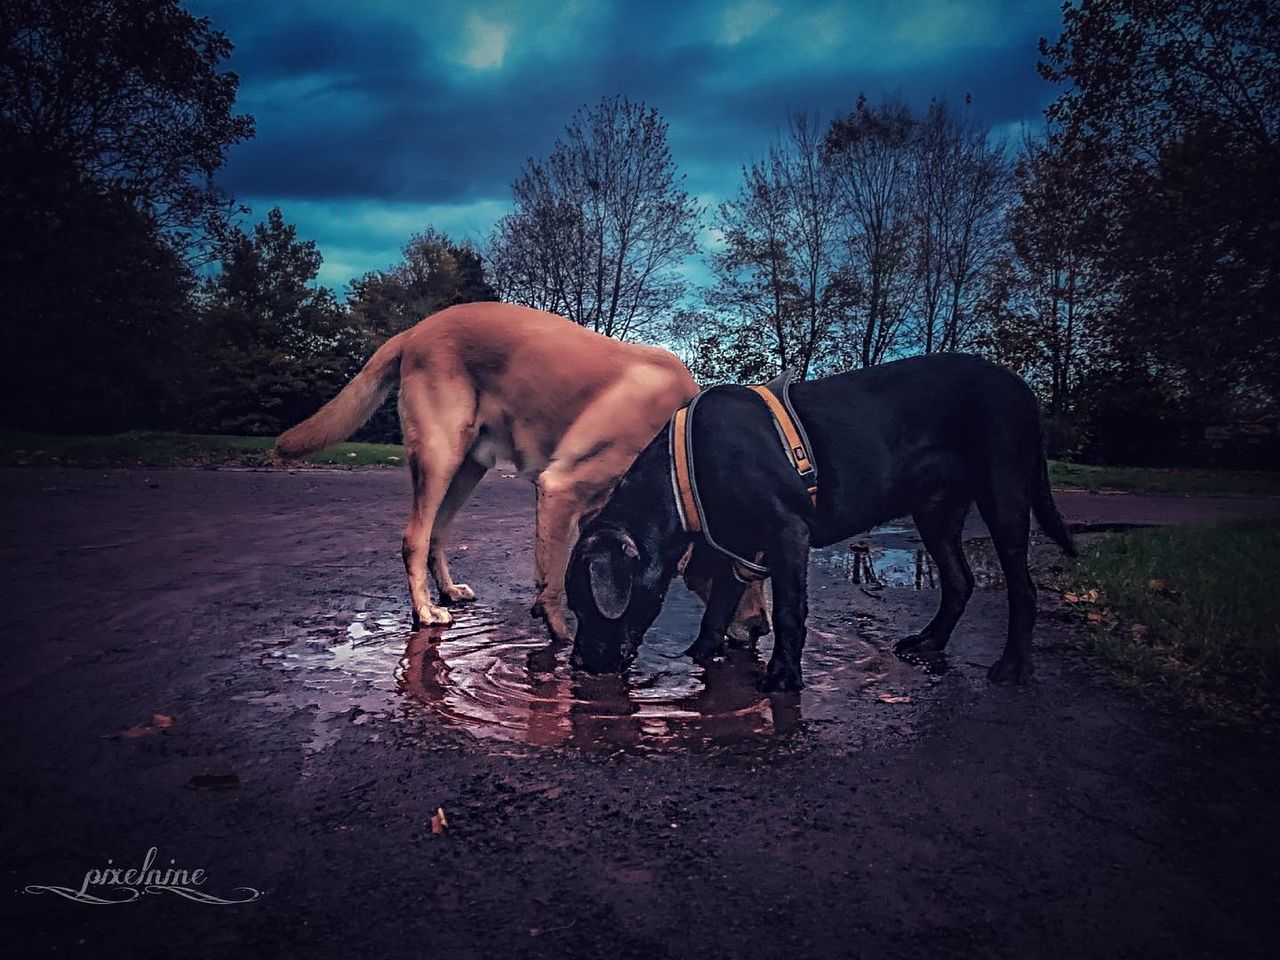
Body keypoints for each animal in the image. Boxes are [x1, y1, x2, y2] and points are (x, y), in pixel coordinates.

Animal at [275, 304, 762, 642]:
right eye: (743, 578)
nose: (761, 629)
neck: (677, 439)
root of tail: (417, 329)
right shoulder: (560, 489)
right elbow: (555, 578)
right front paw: (559, 632)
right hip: (439, 456)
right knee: (414, 537)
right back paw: (425, 611)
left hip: (468, 467)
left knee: (436, 534)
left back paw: (448, 591)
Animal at [565, 353, 1075, 691]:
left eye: (586, 606)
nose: (578, 665)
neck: (682, 477)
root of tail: (1025, 389)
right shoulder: (738, 548)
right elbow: (717, 611)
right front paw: (699, 656)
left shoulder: (788, 533)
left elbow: (789, 611)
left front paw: (783, 676)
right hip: (936, 511)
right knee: (959, 581)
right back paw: (928, 643)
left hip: (1003, 493)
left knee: (1022, 588)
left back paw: (1012, 667)